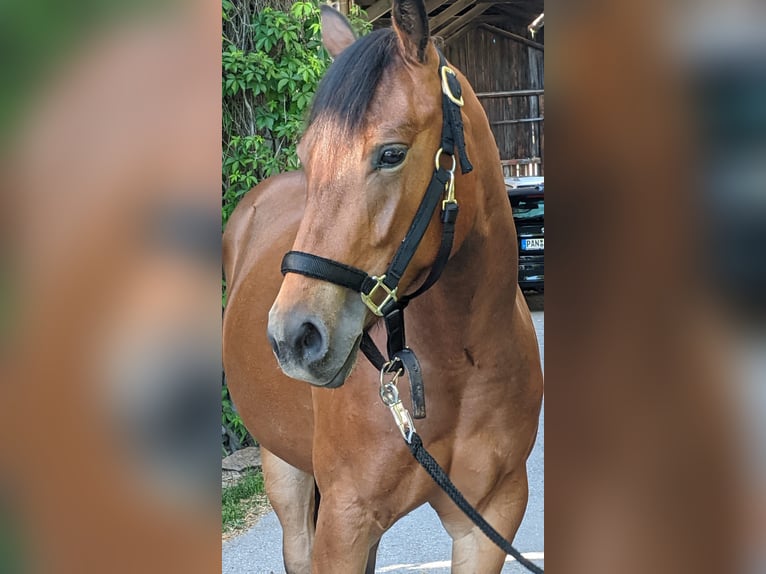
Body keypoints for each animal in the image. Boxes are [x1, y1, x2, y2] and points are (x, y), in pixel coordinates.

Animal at [222, 1, 543, 571]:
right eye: (307, 157)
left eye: (391, 154)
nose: (294, 337)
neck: (461, 363)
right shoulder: (344, 523)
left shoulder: (489, 520)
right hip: (284, 472)